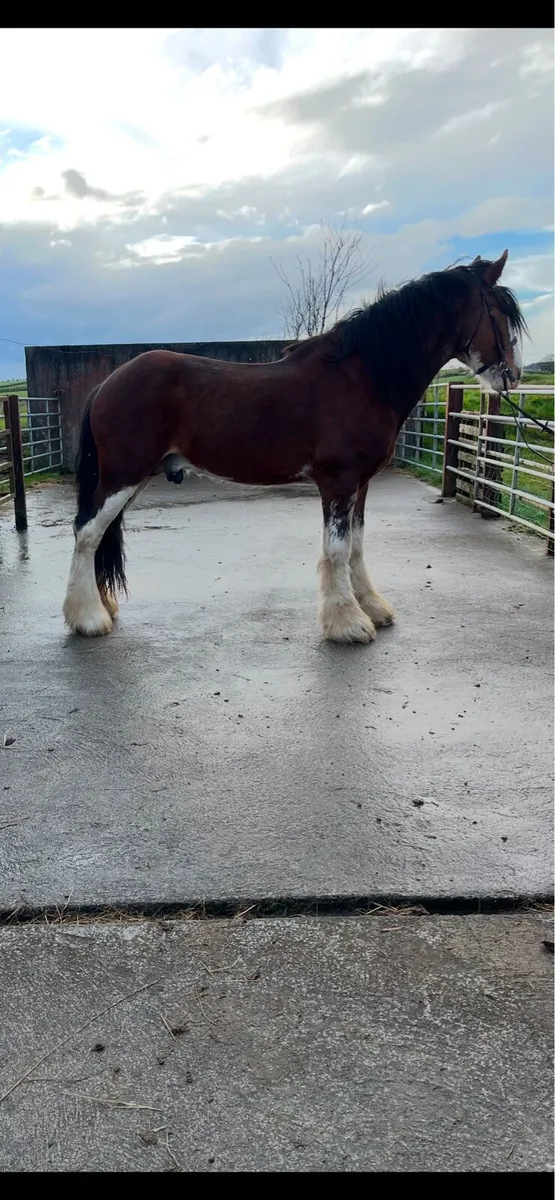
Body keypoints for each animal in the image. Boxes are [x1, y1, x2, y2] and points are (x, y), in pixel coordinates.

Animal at [63, 250, 526, 643]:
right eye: (499, 314)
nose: (513, 375)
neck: (363, 376)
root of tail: (108, 382)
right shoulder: (338, 481)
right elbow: (336, 549)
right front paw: (347, 624)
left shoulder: (361, 484)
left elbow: (356, 546)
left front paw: (372, 608)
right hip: (123, 476)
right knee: (87, 532)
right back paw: (88, 618)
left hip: (135, 478)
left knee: (98, 535)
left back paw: (102, 607)